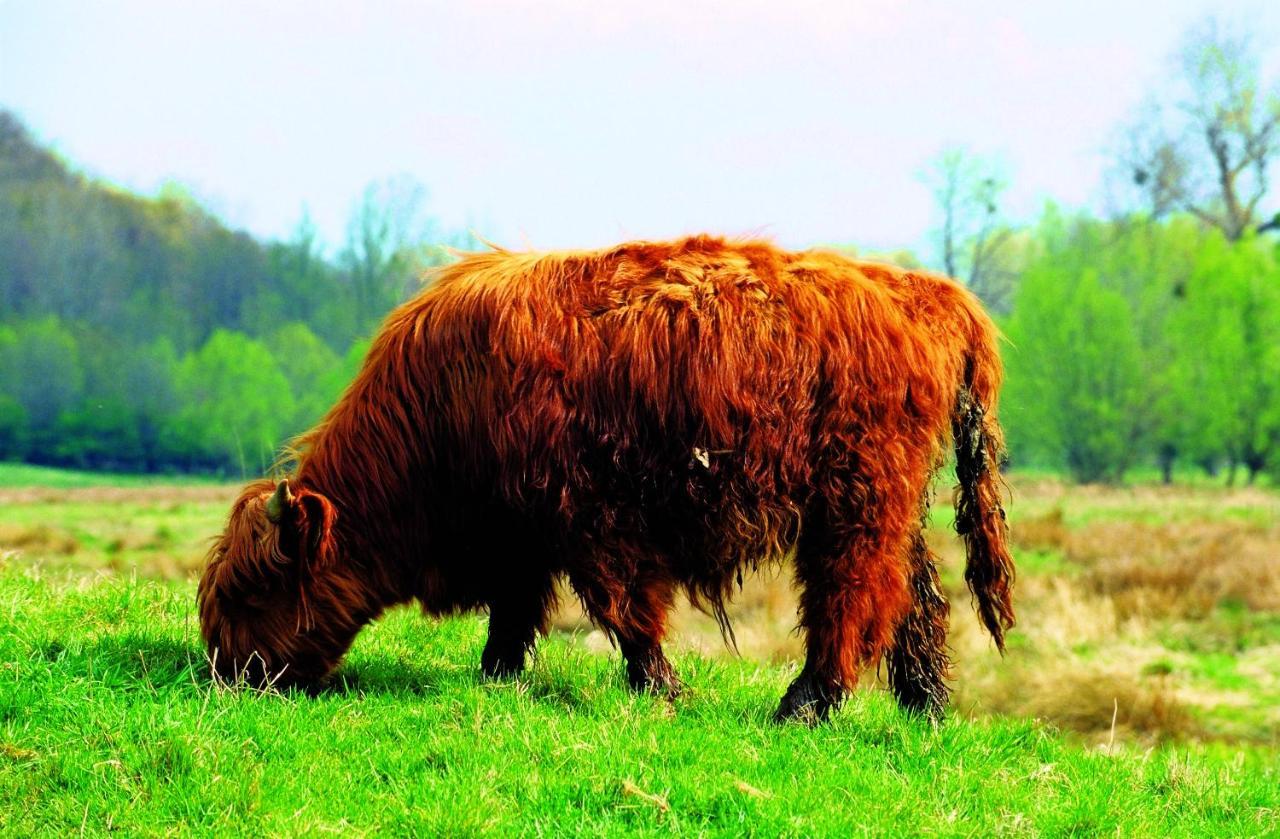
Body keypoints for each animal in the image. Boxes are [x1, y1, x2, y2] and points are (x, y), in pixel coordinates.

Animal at [199, 234, 1013, 722]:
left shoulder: (594, 518)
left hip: (855, 500)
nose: (223, 670)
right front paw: (496, 677)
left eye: (254, 592)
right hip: (892, 503)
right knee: (918, 600)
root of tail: (913, 289)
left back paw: (804, 706)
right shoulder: (520, 532)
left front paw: (659, 689)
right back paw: (925, 707)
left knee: (852, 597)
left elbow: (627, 613)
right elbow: (514, 611)